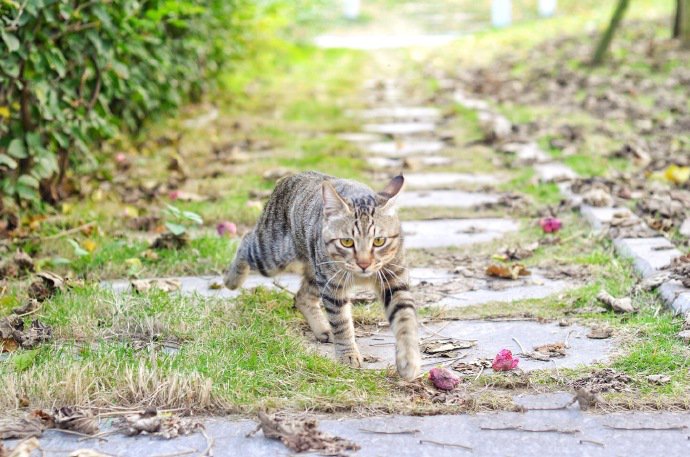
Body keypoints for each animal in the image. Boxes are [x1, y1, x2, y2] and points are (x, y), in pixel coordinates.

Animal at [224, 170, 420, 378]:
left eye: (379, 241)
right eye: (347, 242)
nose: (364, 264)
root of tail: (290, 176)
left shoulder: (395, 282)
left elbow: (405, 319)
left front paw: (409, 360)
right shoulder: (334, 286)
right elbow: (341, 322)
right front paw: (348, 355)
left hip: (314, 270)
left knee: (302, 297)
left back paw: (323, 329)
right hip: (272, 255)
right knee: (246, 240)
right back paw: (231, 279)